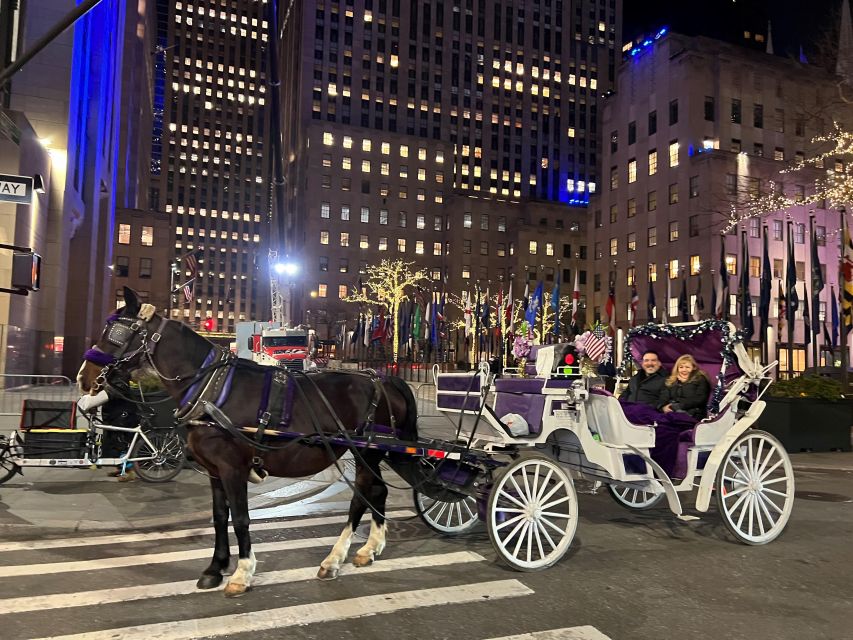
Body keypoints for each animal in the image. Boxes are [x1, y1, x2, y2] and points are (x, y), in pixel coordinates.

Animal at [78, 288, 418, 596]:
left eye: (117, 333)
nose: (84, 376)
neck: (211, 389)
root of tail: (383, 379)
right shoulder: (214, 470)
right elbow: (219, 517)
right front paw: (215, 568)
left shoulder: (233, 468)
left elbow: (241, 518)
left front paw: (242, 573)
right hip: (372, 454)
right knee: (378, 491)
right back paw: (369, 549)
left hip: (365, 453)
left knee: (362, 496)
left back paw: (334, 558)